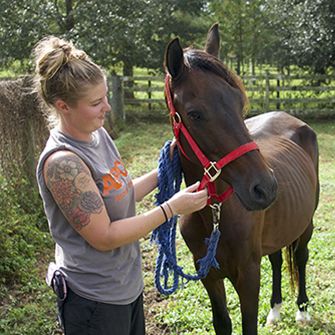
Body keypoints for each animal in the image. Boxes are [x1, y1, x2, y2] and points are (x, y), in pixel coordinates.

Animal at [165, 24, 320, 335]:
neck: (213, 216)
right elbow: (222, 323)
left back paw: (302, 311)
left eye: (239, 103)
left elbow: (248, 324)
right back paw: (275, 310)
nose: (265, 188)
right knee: (276, 258)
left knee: (300, 257)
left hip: (306, 223)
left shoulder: (248, 275)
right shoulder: (209, 275)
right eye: (194, 114)